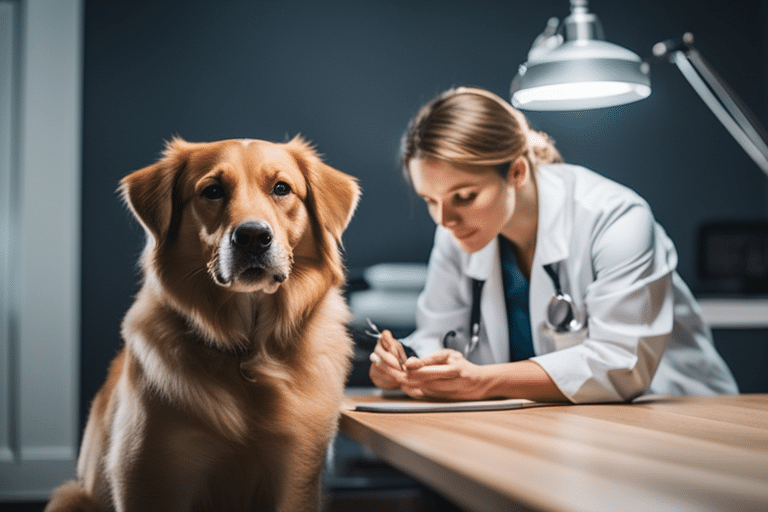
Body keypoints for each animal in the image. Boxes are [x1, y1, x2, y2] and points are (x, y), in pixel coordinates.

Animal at [44, 136, 360, 512]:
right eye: (212, 191)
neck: (246, 355)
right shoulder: (151, 477)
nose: (253, 236)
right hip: (70, 496)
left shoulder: (296, 474)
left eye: (281, 188)